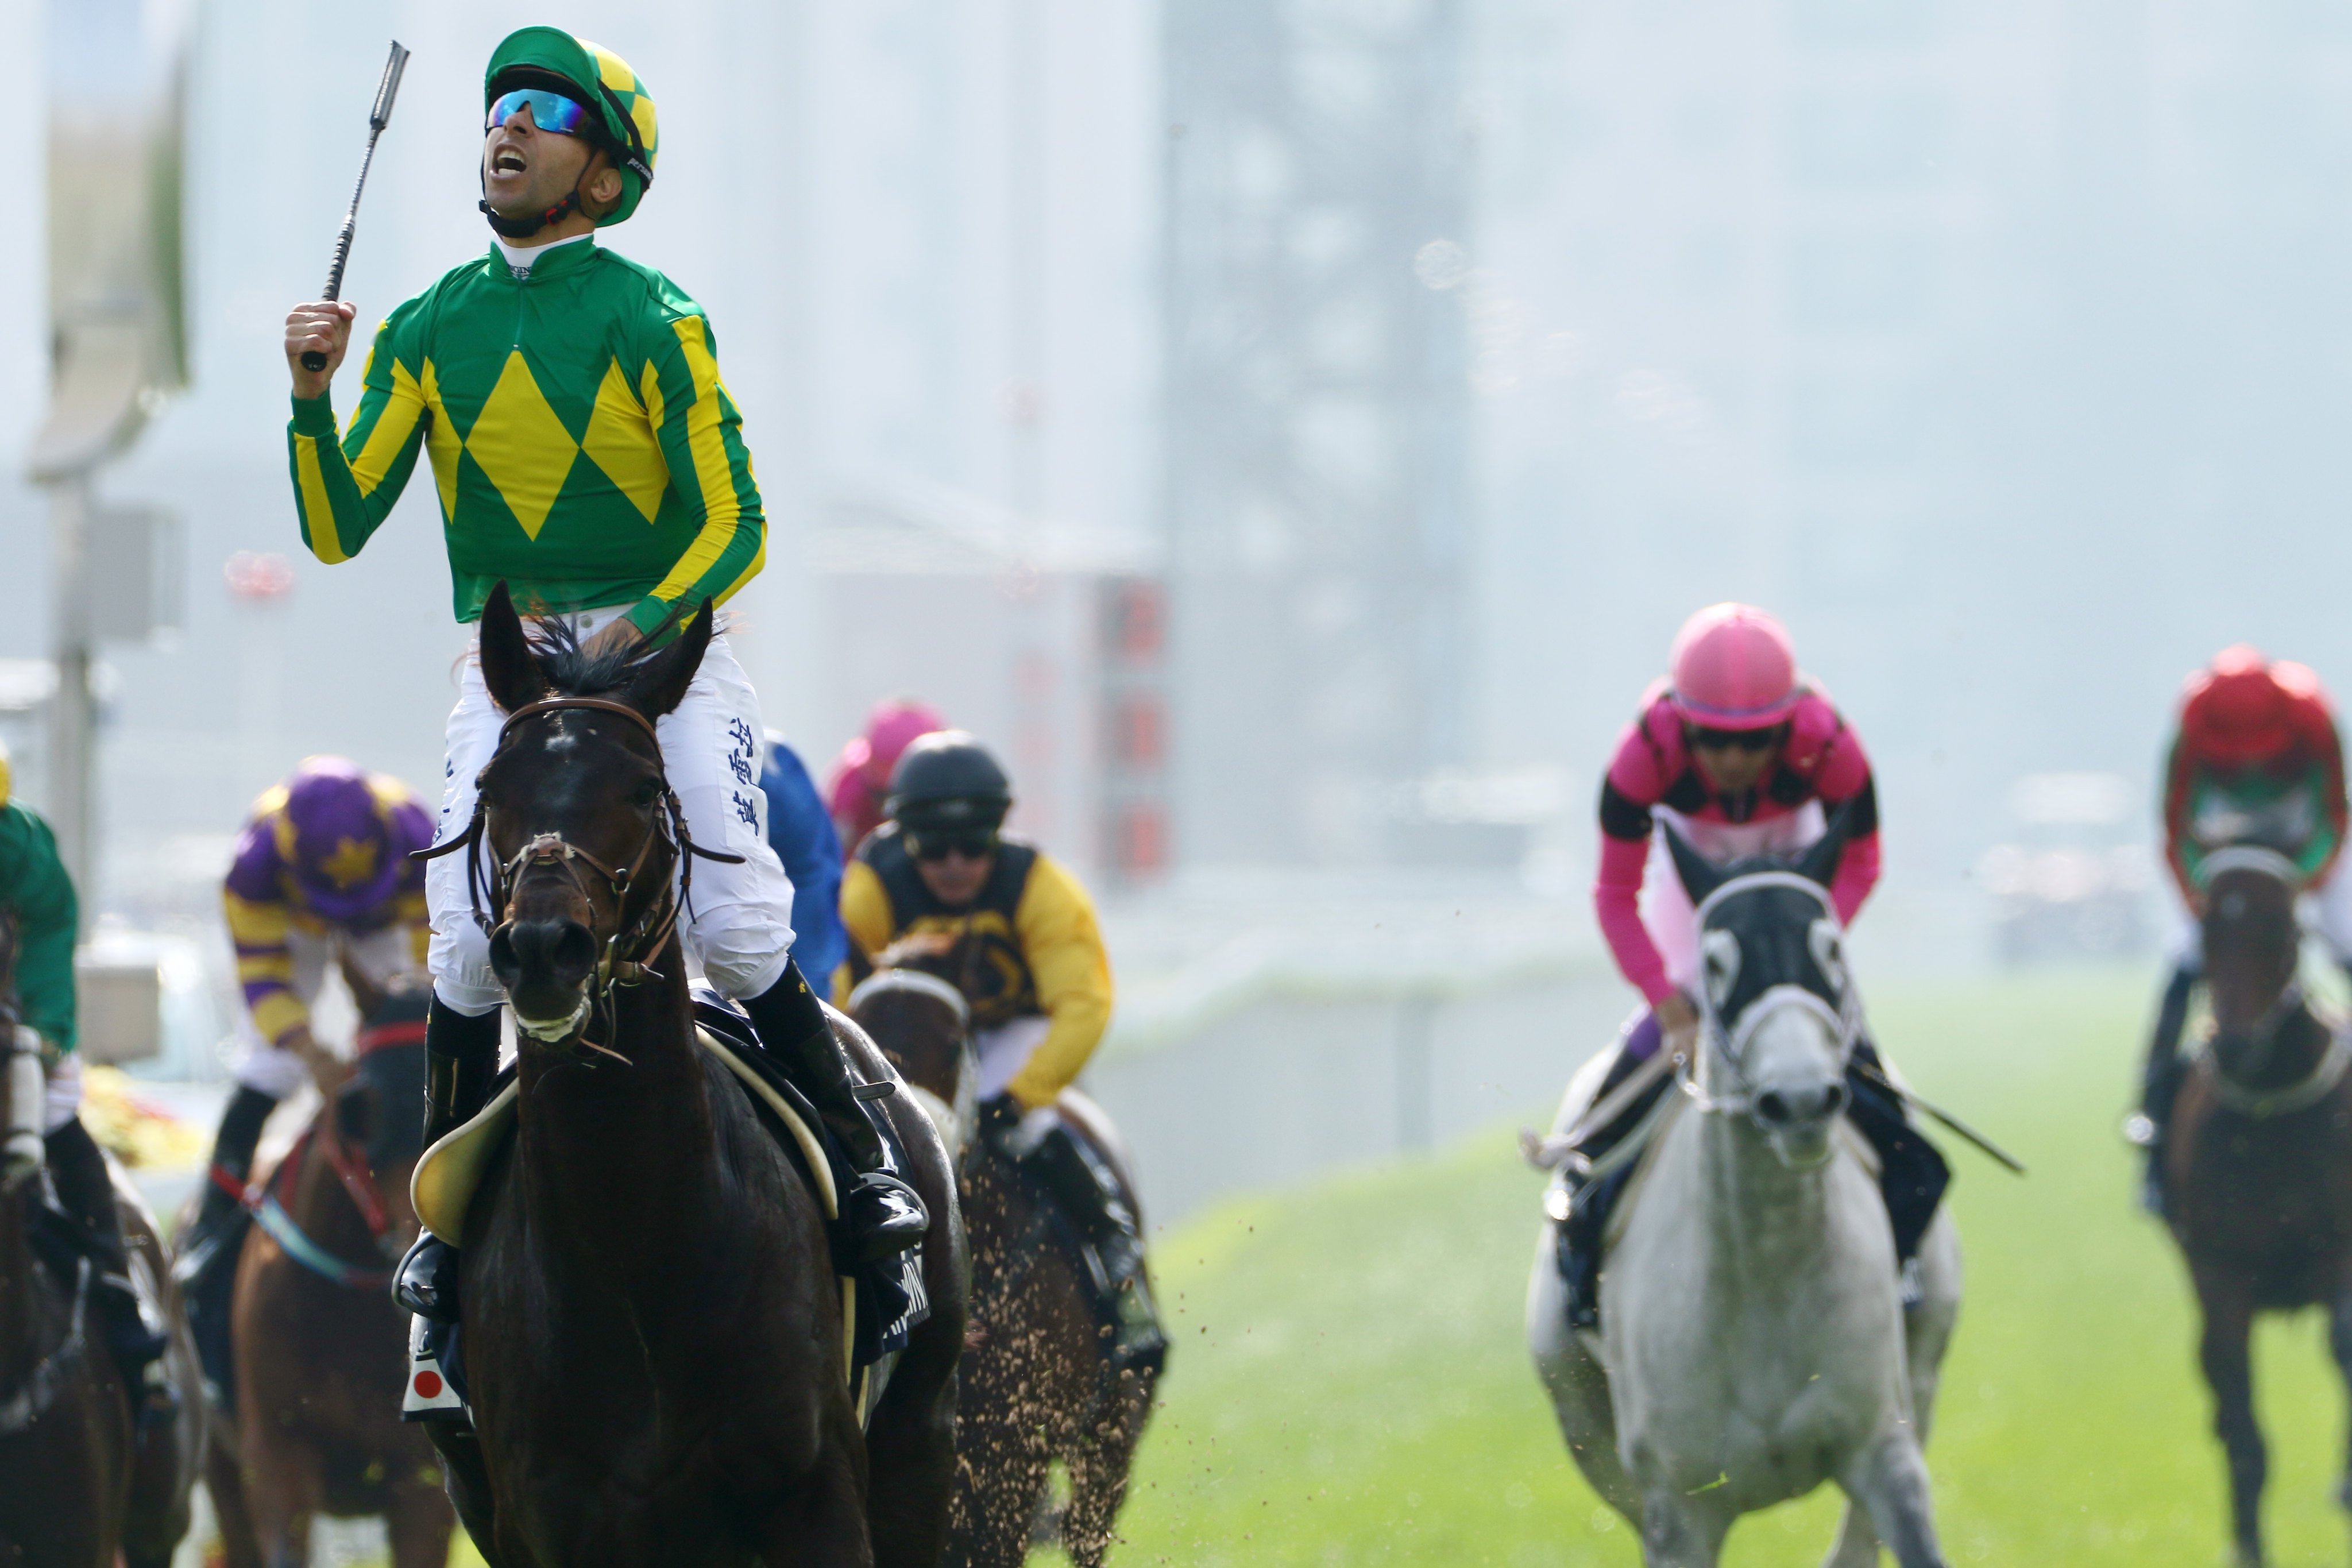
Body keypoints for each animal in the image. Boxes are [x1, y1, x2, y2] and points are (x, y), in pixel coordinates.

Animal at [426, 588, 964, 1568]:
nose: (543, 949)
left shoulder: (817, 1499)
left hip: (920, 1434)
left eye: (643, 787)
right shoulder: (545, 1522)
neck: (634, 1251)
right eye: (488, 788)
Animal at [2173, 851, 2352, 1561]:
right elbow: (2237, 1399)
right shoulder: (2219, 1272)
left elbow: (2343, 1340)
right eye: (2206, 932)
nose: (2235, 1049)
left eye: (2286, 930)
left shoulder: (2336, 1253)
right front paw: (2247, 1544)